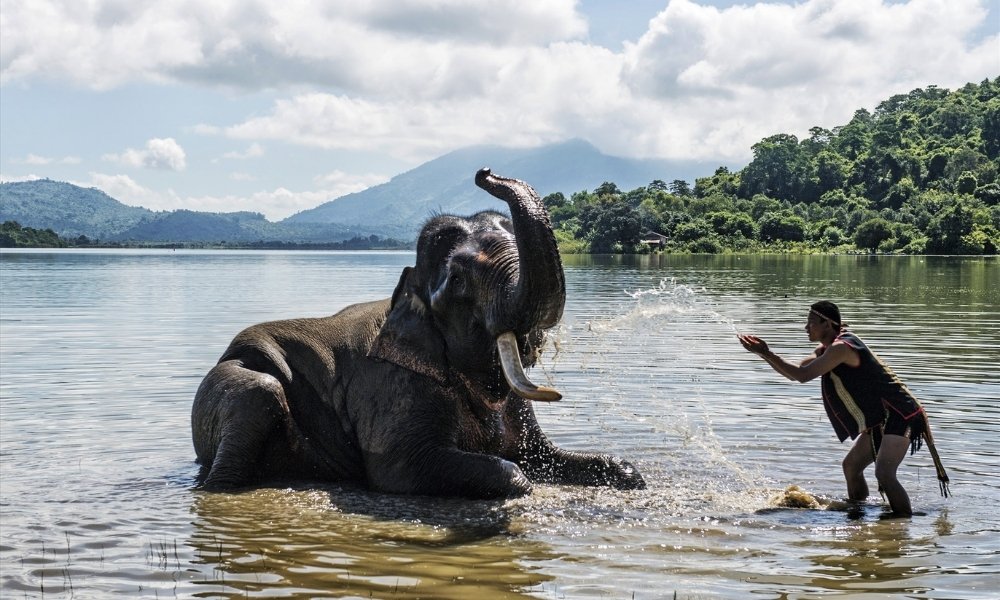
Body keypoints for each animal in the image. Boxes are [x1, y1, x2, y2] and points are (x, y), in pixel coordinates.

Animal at [193, 168, 648, 496]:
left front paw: (629, 474)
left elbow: (545, 455)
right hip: (231, 384)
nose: (485, 173)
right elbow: (405, 467)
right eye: (458, 281)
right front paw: (519, 480)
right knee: (258, 394)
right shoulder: (391, 384)